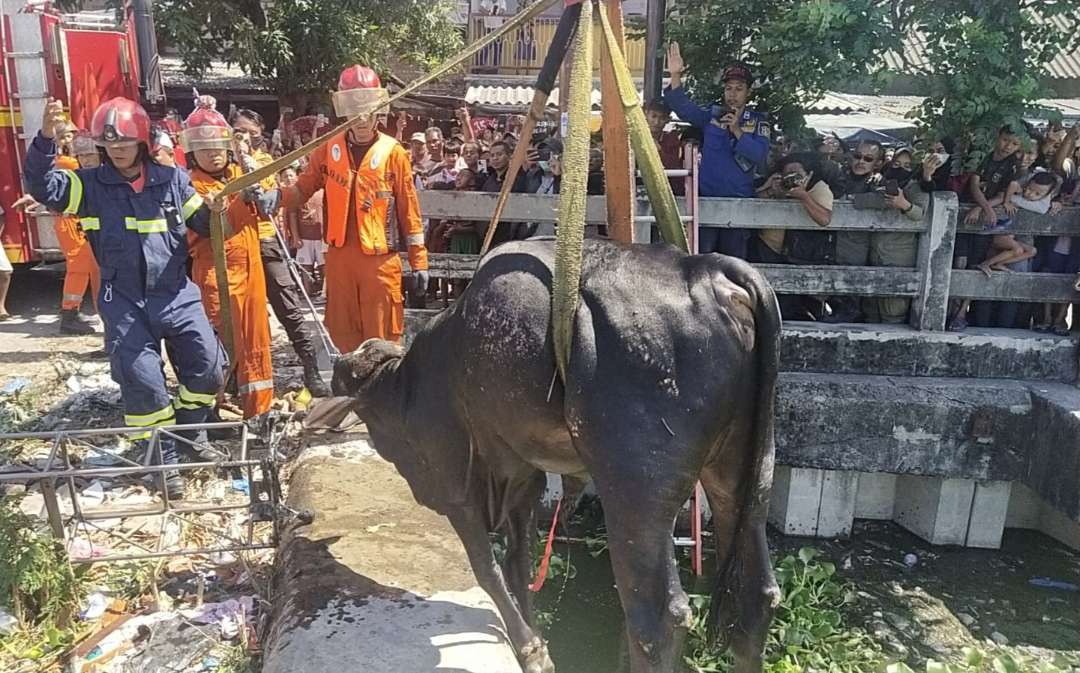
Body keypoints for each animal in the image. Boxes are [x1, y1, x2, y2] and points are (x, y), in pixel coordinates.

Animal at [332, 239, 781, 673]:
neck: (410, 382)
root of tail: (706, 269)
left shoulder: (454, 487)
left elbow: (487, 568)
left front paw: (531, 649)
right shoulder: (521, 483)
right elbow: (518, 565)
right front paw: (534, 642)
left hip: (637, 494)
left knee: (657, 618)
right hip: (744, 472)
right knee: (757, 593)